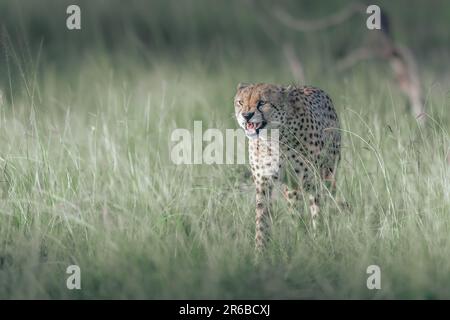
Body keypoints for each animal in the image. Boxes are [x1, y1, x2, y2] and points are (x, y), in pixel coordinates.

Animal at [236, 82, 342, 252]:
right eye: (240, 102)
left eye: (262, 103)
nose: (246, 115)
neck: (272, 137)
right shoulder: (263, 181)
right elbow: (261, 217)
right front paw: (260, 250)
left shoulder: (312, 179)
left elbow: (317, 213)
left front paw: (318, 241)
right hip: (293, 187)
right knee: (295, 211)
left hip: (326, 175)